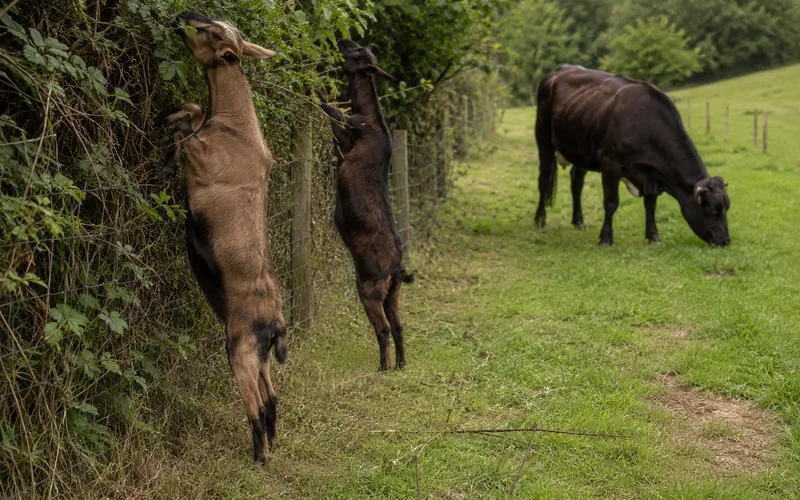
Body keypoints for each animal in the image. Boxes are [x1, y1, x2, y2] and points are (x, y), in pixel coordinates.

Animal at [155, 11, 285, 463]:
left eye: (209, 32)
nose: (183, 16)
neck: (236, 127)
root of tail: (276, 324)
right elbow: (193, 111)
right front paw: (165, 117)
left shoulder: (203, 158)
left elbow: (187, 134)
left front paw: (163, 158)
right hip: (259, 358)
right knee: (272, 397)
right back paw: (272, 443)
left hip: (239, 350)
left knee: (256, 405)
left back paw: (260, 456)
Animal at [319, 39, 413, 371]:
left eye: (358, 52)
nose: (343, 40)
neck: (370, 117)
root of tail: (397, 269)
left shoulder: (346, 133)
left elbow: (331, 109)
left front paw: (316, 91)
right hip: (392, 296)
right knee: (398, 326)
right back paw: (400, 364)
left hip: (369, 291)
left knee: (383, 329)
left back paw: (383, 367)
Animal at [534, 65, 731, 246]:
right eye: (711, 209)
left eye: (726, 207)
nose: (725, 241)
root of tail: (561, 69)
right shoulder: (610, 164)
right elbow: (611, 202)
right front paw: (606, 239)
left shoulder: (651, 174)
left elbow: (650, 205)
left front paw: (653, 236)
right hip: (544, 140)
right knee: (544, 180)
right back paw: (540, 219)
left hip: (581, 149)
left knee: (576, 182)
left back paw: (579, 222)